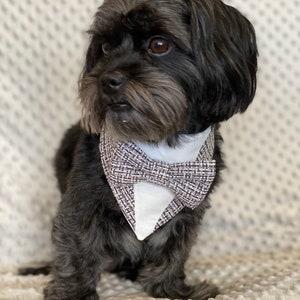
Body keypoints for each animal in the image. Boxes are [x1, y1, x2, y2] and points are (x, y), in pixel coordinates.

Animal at [42, 0, 258, 300]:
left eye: (158, 44)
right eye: (105, 47)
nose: (107, 80)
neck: (157, 149)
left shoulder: (189, 209)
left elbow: (173, 249)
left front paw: (171, 288)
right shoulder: (81, 203)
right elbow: (77, 246)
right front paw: (74, 292)